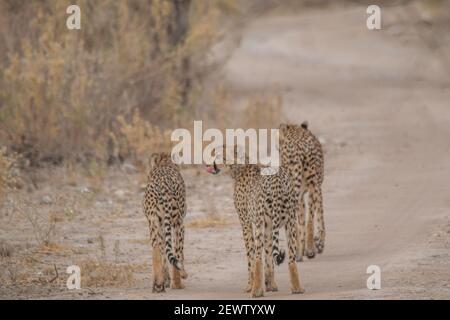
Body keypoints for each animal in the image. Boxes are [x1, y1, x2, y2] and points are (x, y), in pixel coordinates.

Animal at [143, 152, 187, 292]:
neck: (164, 164)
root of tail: (163, 182)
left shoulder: (161, 223)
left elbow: (163, 251)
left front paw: (166, 280)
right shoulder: (180, 223)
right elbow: (178, 252)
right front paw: (174, 280)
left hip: (153, 222)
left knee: (156, 248)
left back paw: (158, 285)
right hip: (176, 222)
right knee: (176, 250)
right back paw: (178, 283)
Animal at [207, 147, 306, 298]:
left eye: (217, 154)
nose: (206, 162)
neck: (240, 167)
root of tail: (278, 179)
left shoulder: (246, 223)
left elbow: (251, 257)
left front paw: (251, 285)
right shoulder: (268, 226)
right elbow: (269, 257)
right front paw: (271, 285)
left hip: (260, 224)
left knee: (258, 257)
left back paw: (256, 291)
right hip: (290, 223)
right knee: (291, 258)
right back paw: (297, 288)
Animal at [278, 122, 324, 260]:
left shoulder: (304, 192)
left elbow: (303, 219)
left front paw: (300, 249)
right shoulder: (316, 187)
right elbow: (318, 215)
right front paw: (319, 243)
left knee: (299, 221)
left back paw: (298, 251)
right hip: (311, 186)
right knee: (309, 220)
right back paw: (310, 249)